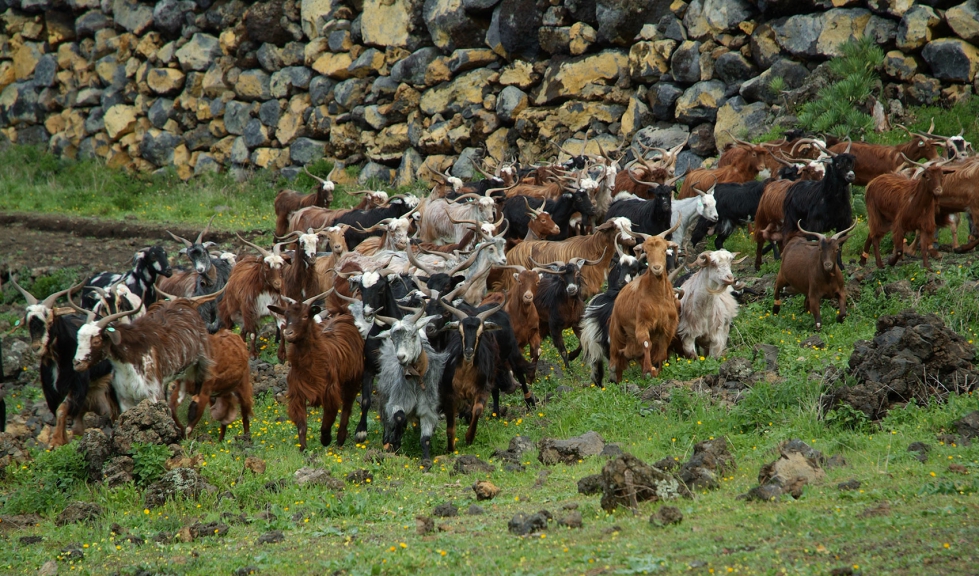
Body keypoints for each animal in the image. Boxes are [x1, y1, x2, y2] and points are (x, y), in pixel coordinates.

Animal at [10, 278, 116, 446]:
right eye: (27, 321)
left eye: (49, 318)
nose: (36, 347)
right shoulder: (50, 390)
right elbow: (58, 411)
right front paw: (62, 439)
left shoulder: (77, 385)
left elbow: (62, 409)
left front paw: (56, 441)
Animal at [268, 292, 364, 450]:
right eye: (286, 316)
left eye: (305, 316)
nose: (288, 333)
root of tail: (343, 315)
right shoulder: (297, 393)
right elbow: (302, 425)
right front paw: (303, 448)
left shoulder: (330, 391)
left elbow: (327, 422)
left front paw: (326, 439)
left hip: (353, 379)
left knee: (347, 407)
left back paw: (340, 439)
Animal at [608, 220, 684, 382]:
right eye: (646, 251)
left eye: (664, 249)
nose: (657, 268)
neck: (658, 299)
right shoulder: (642, 323)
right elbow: (646, 343)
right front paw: (649, 371)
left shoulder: (668, 327)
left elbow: (662, 350)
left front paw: (658, 371)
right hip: (617, 330)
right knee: (616, 357)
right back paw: (615, 377)